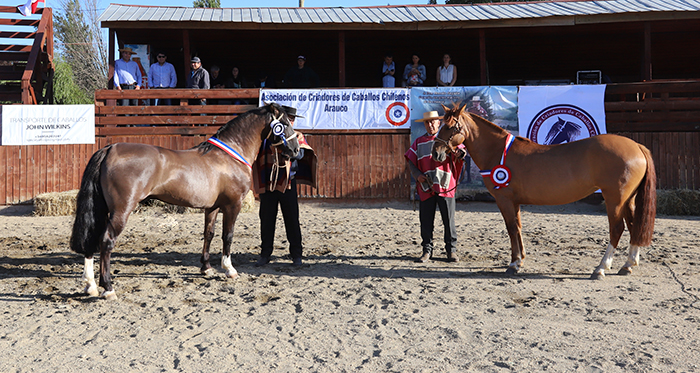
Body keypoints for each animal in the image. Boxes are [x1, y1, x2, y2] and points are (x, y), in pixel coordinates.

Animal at [69, 102, 300, 300]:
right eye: (285, 124)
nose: (296, 150)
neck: (230, 155)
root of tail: (110, 149)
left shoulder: (212, 208)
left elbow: (209, 234)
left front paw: (206, 268)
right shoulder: (233, 205)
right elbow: (228, 236)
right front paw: (229, 269)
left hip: (102, 209)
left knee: (92, 238)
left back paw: (90, 285)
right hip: (121, 210)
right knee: (106, 241)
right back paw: (108, 288)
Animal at [432, 103, 656, 278]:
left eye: (450, 127)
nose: (436, 153)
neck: (498, 152)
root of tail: (636, 146)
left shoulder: (504, 200)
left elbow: (511, 228)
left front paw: (514, 264)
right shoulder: (514, 202)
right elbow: (518, 228)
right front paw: (520, 260)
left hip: (615, 199)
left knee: (617, 228)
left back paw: (601, 268)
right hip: (628, 200)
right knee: (634, 225)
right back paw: (627, 265)